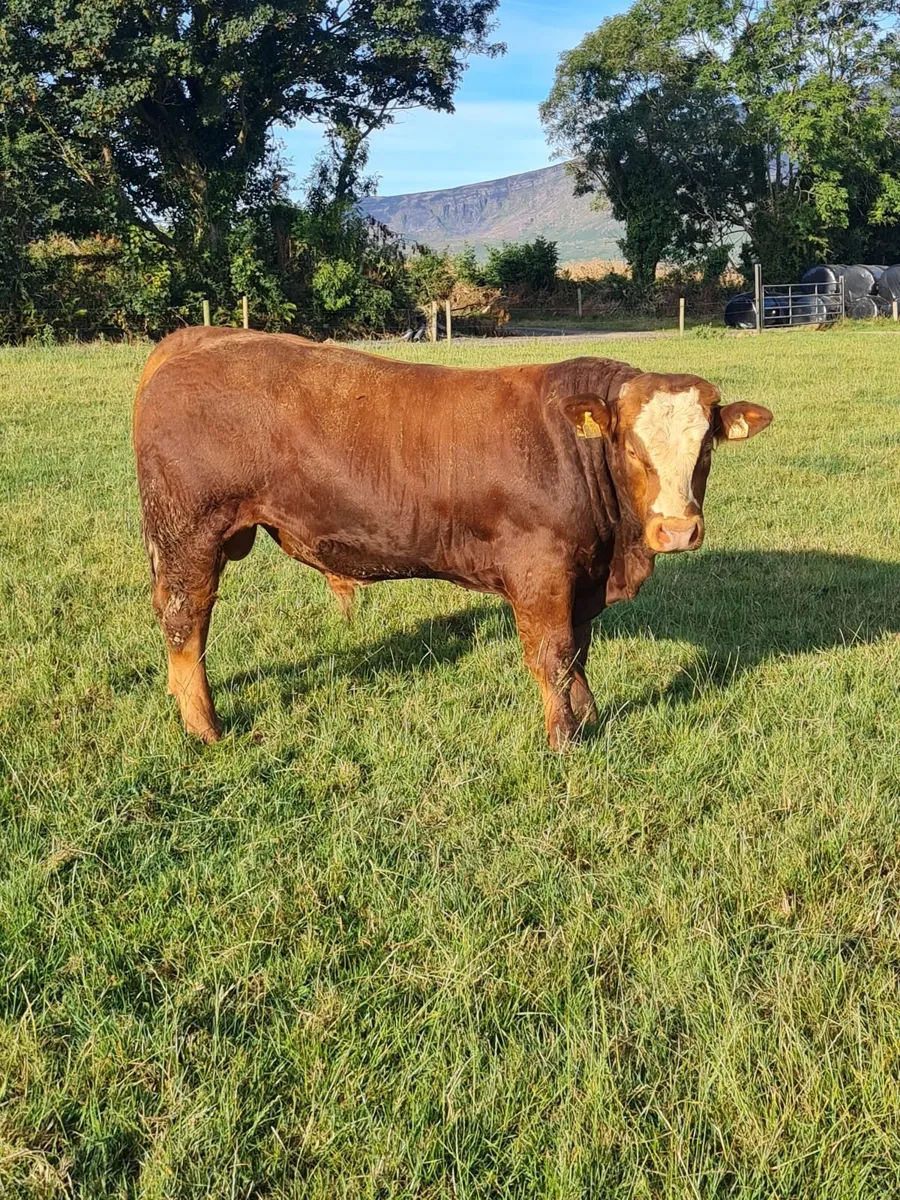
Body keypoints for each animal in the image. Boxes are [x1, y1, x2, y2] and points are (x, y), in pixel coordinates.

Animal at [133, 328, 772, 749]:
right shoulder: (540, 570)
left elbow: (579, 650)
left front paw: (589, 717)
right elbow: (553, 653)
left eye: (706, 447)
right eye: (633, 448)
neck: (618, 549)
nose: (677, 529)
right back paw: (206, 728)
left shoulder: (583, 574)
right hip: (190, 533)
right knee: (185, 621)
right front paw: (564, 738)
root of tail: (198, 340)